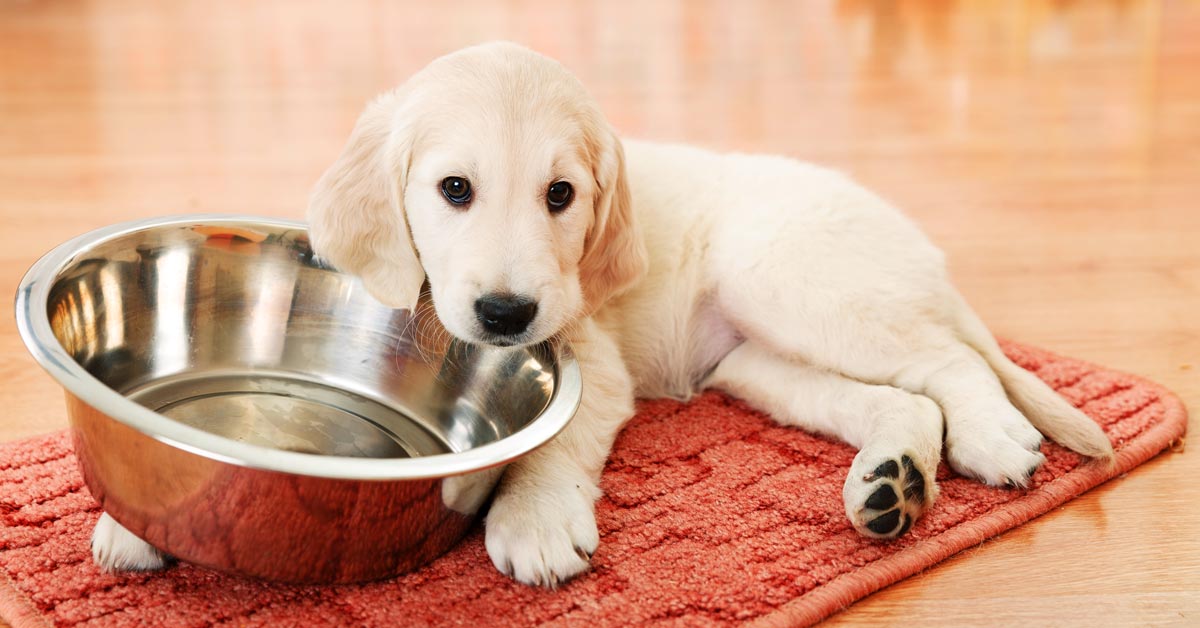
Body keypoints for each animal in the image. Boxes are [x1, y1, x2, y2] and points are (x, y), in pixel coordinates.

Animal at [88, 42, 1108, 585]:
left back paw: (992, 439)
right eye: (453, 189)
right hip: (756, 367)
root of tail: (920, 251)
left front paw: (535, 520)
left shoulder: (592, 363)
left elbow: (552, 441)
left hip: (790, 279)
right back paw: (892, 483)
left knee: (950, 363)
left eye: (562, 195)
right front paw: (142, 515)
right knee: (902, 400)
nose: (505, 313)